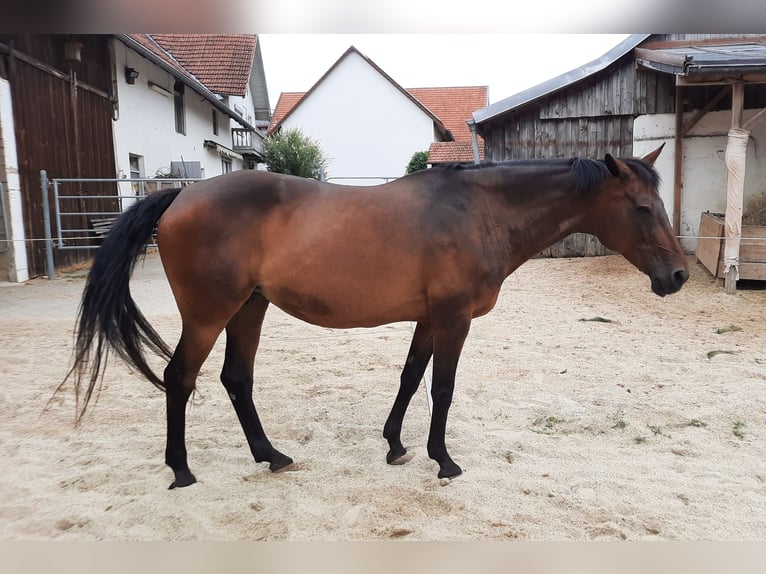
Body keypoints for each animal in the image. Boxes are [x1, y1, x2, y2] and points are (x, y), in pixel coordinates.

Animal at [64, 145, 688, 490]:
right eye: (641, 208)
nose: (678, 276)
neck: (479, 211)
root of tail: (181, 196)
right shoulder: (454, 318)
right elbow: (442, 388)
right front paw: (444, 460)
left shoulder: (429, 319)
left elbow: (411, 378)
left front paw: (395, 445)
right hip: (209, 314)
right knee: (180, 379)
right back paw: (182, 470)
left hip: (249, 308)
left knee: (235, 380)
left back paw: (272, 456)